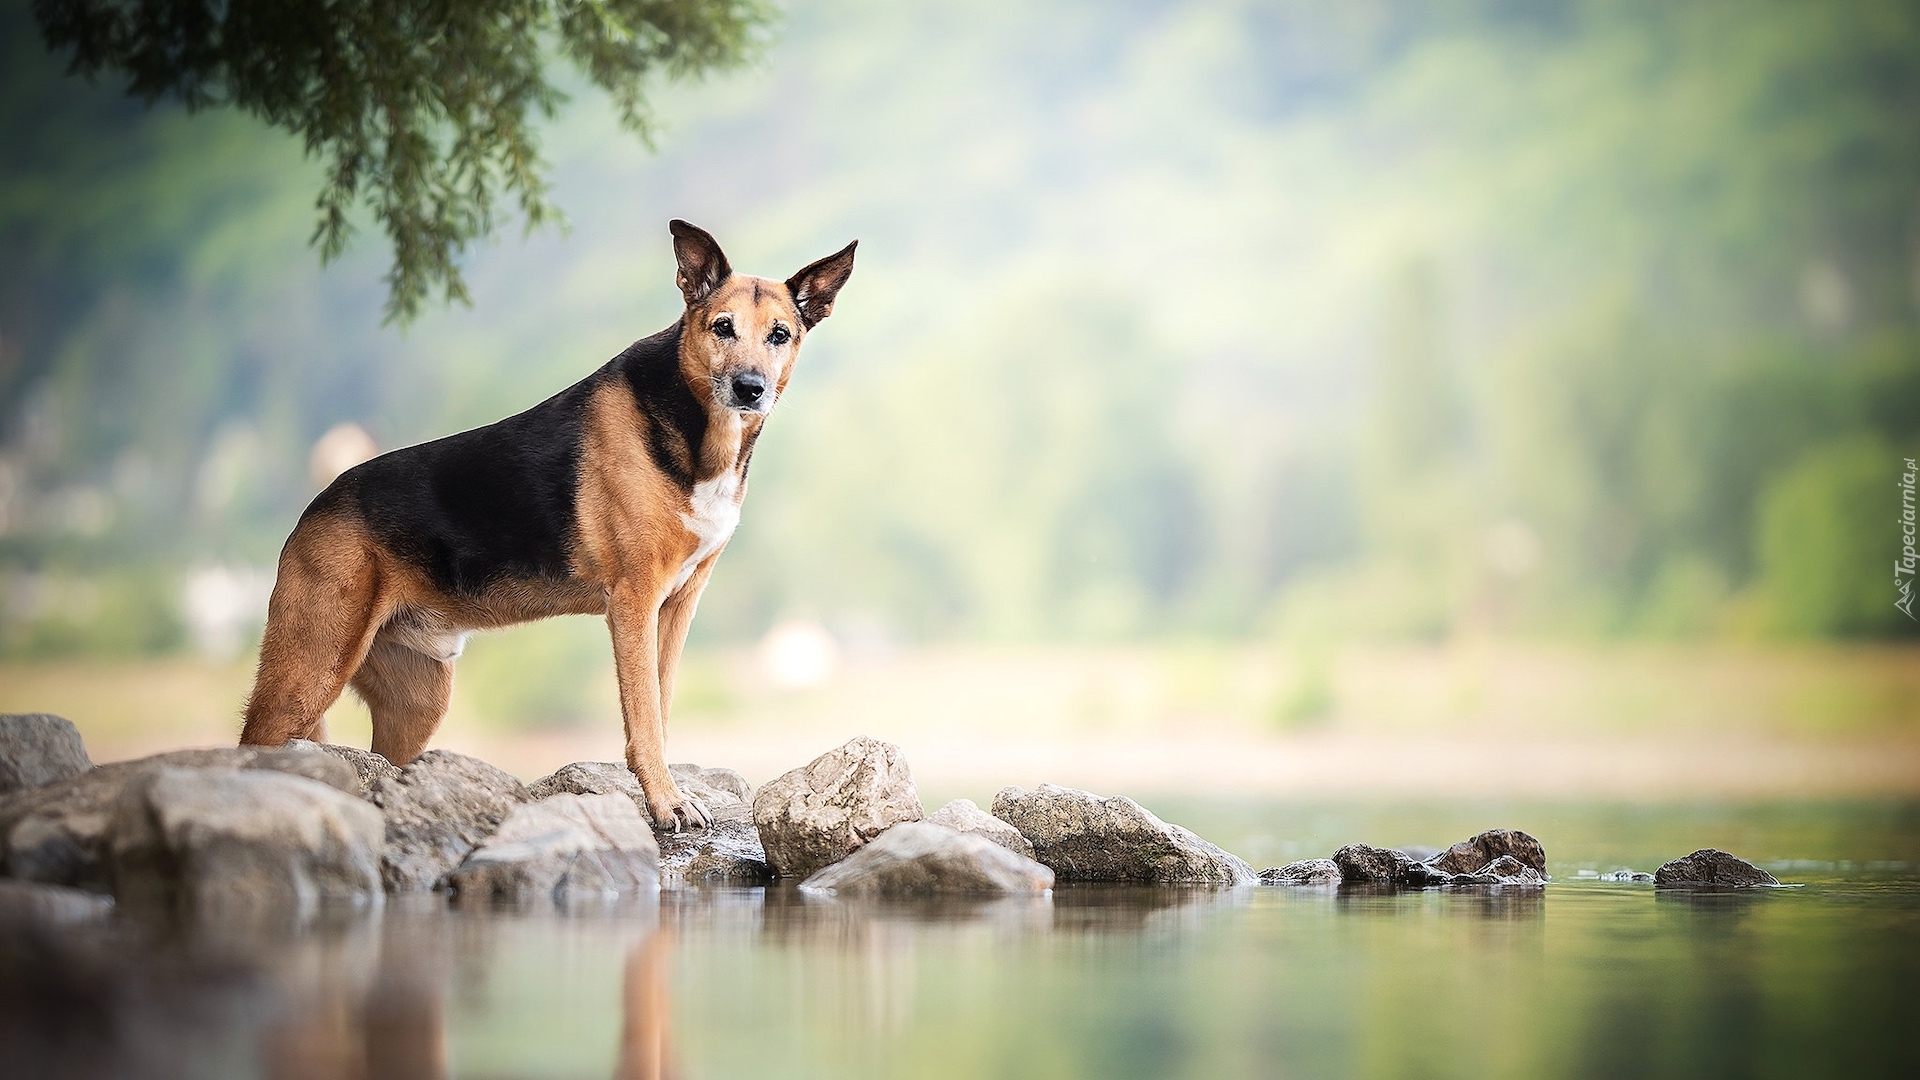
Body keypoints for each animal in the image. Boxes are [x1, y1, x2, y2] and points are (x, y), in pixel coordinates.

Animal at [238, 219, 856, 822]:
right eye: (722, 327)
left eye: (780, 335)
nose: (750, 389)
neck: (697, 432)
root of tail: (312, 510)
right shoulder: (635, 600)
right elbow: (645, 718)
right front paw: (666, 803)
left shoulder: (678, 603)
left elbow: (662, 704)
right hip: (308, 672)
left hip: (417, 700)